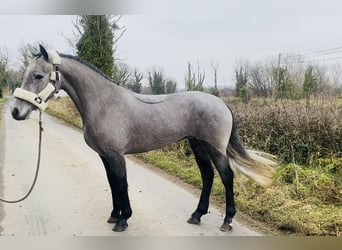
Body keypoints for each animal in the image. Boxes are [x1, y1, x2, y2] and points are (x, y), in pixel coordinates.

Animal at [10, 44, 276, 232]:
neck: (104, 103)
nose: (15, 112)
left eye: (38, 76)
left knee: (226, 176)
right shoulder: (106, 156)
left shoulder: (116, 156)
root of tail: (221, 102)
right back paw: (197, 215)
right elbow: (112, 184)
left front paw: (123, 220)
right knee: (208, 176)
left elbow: (122, 184)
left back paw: (227, 220)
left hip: (215, 148)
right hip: (197, 144)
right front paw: (114, 215)